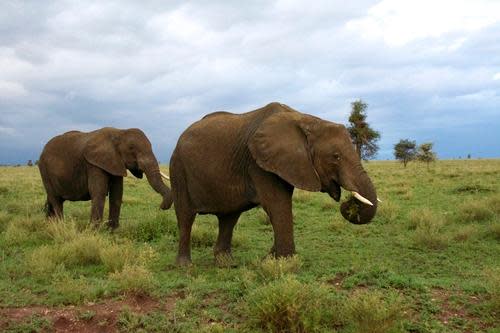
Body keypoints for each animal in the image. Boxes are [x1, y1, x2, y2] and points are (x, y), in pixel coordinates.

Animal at [38, 126, 173, 227]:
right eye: (131, 148)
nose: (161, 207)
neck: (119, 132)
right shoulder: (93, 164)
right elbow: (99, 192)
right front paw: (93, 232)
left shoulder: (115, 162)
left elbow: (117, 193)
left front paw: (112, 231)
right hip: (44, 170)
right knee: (55, 200)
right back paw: (60, 226)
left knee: (53, 199)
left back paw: (49, 225)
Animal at [170, 102, 376, 264]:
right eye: (336, 156)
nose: (348, 203)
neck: (305, 119)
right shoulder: (258, 163)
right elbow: (277, 204)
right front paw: (285, 263)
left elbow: (279, 206)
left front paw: (269, 259)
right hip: (178, 169)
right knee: (186, 216)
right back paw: (185, 266)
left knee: (229, 217)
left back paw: (227, 264)